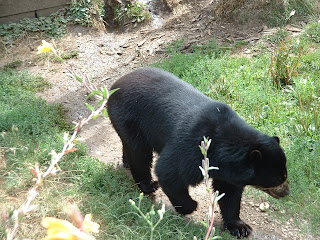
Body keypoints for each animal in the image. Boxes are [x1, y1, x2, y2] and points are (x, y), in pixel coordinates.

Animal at [108, 67, 290, 238]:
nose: (286, 193)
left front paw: (240, 227)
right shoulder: (192, 148)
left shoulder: (228, 171)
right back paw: (149, 185)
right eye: (278, 179)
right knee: (139, 153)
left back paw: (126, 162)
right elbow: (169, 172)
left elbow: (229, 192)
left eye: (284, 175)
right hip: (129, 117)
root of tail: (115, 85)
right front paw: (190, 206)